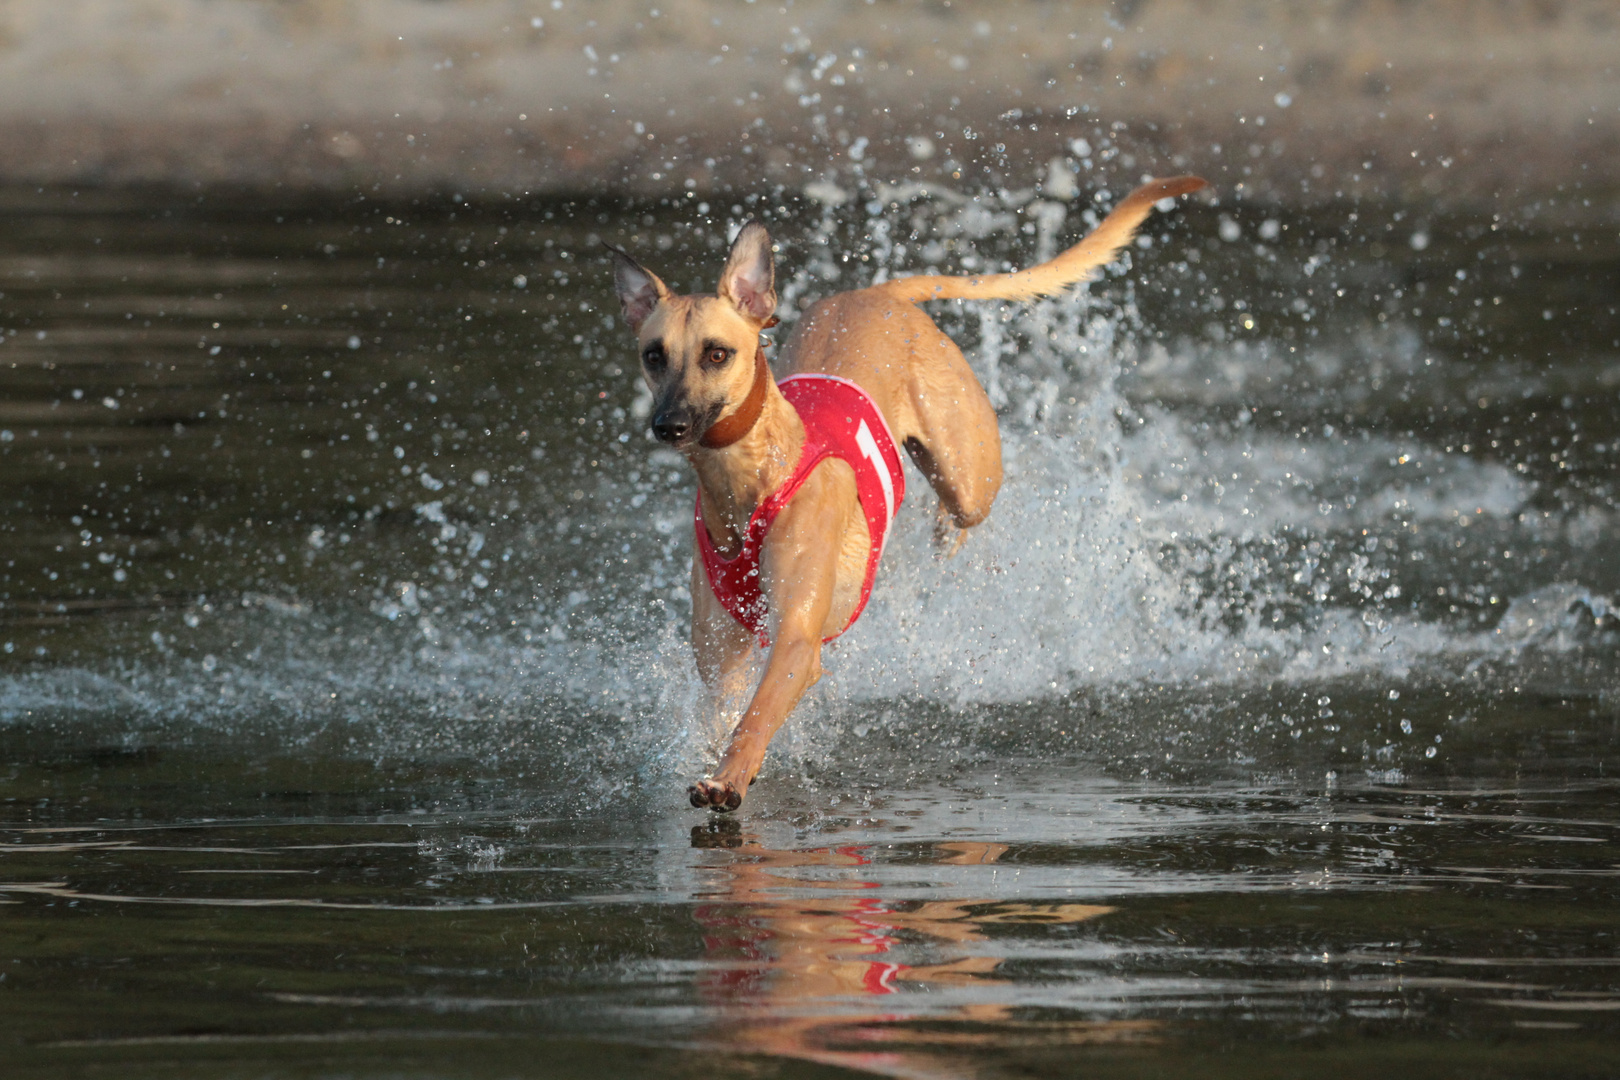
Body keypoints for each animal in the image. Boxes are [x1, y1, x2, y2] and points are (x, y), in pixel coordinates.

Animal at [612, 175, 1211, 809]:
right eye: (654, 355)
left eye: (717, 353)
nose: (669, 425)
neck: (751, 478)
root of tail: (879, 293)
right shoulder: (721, 652)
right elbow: (723, 710)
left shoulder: (796, 641)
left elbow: (757, 715)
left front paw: (730, 776)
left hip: (968, 473)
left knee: (965, 513)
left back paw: (946, 532)